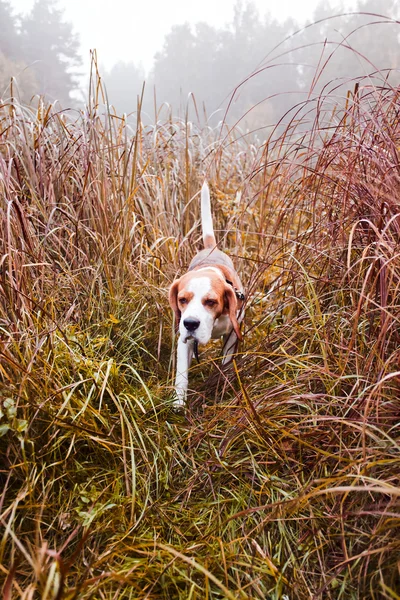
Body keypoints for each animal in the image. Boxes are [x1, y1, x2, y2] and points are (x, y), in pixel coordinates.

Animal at [168, 182, 245, 408]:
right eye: (182, 300)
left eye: (211, 301)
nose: (190, 324)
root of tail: (211, 247)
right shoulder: (184, 341)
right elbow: (181, 375)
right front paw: (178, 403)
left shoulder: (233, 333)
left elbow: (226, 362)